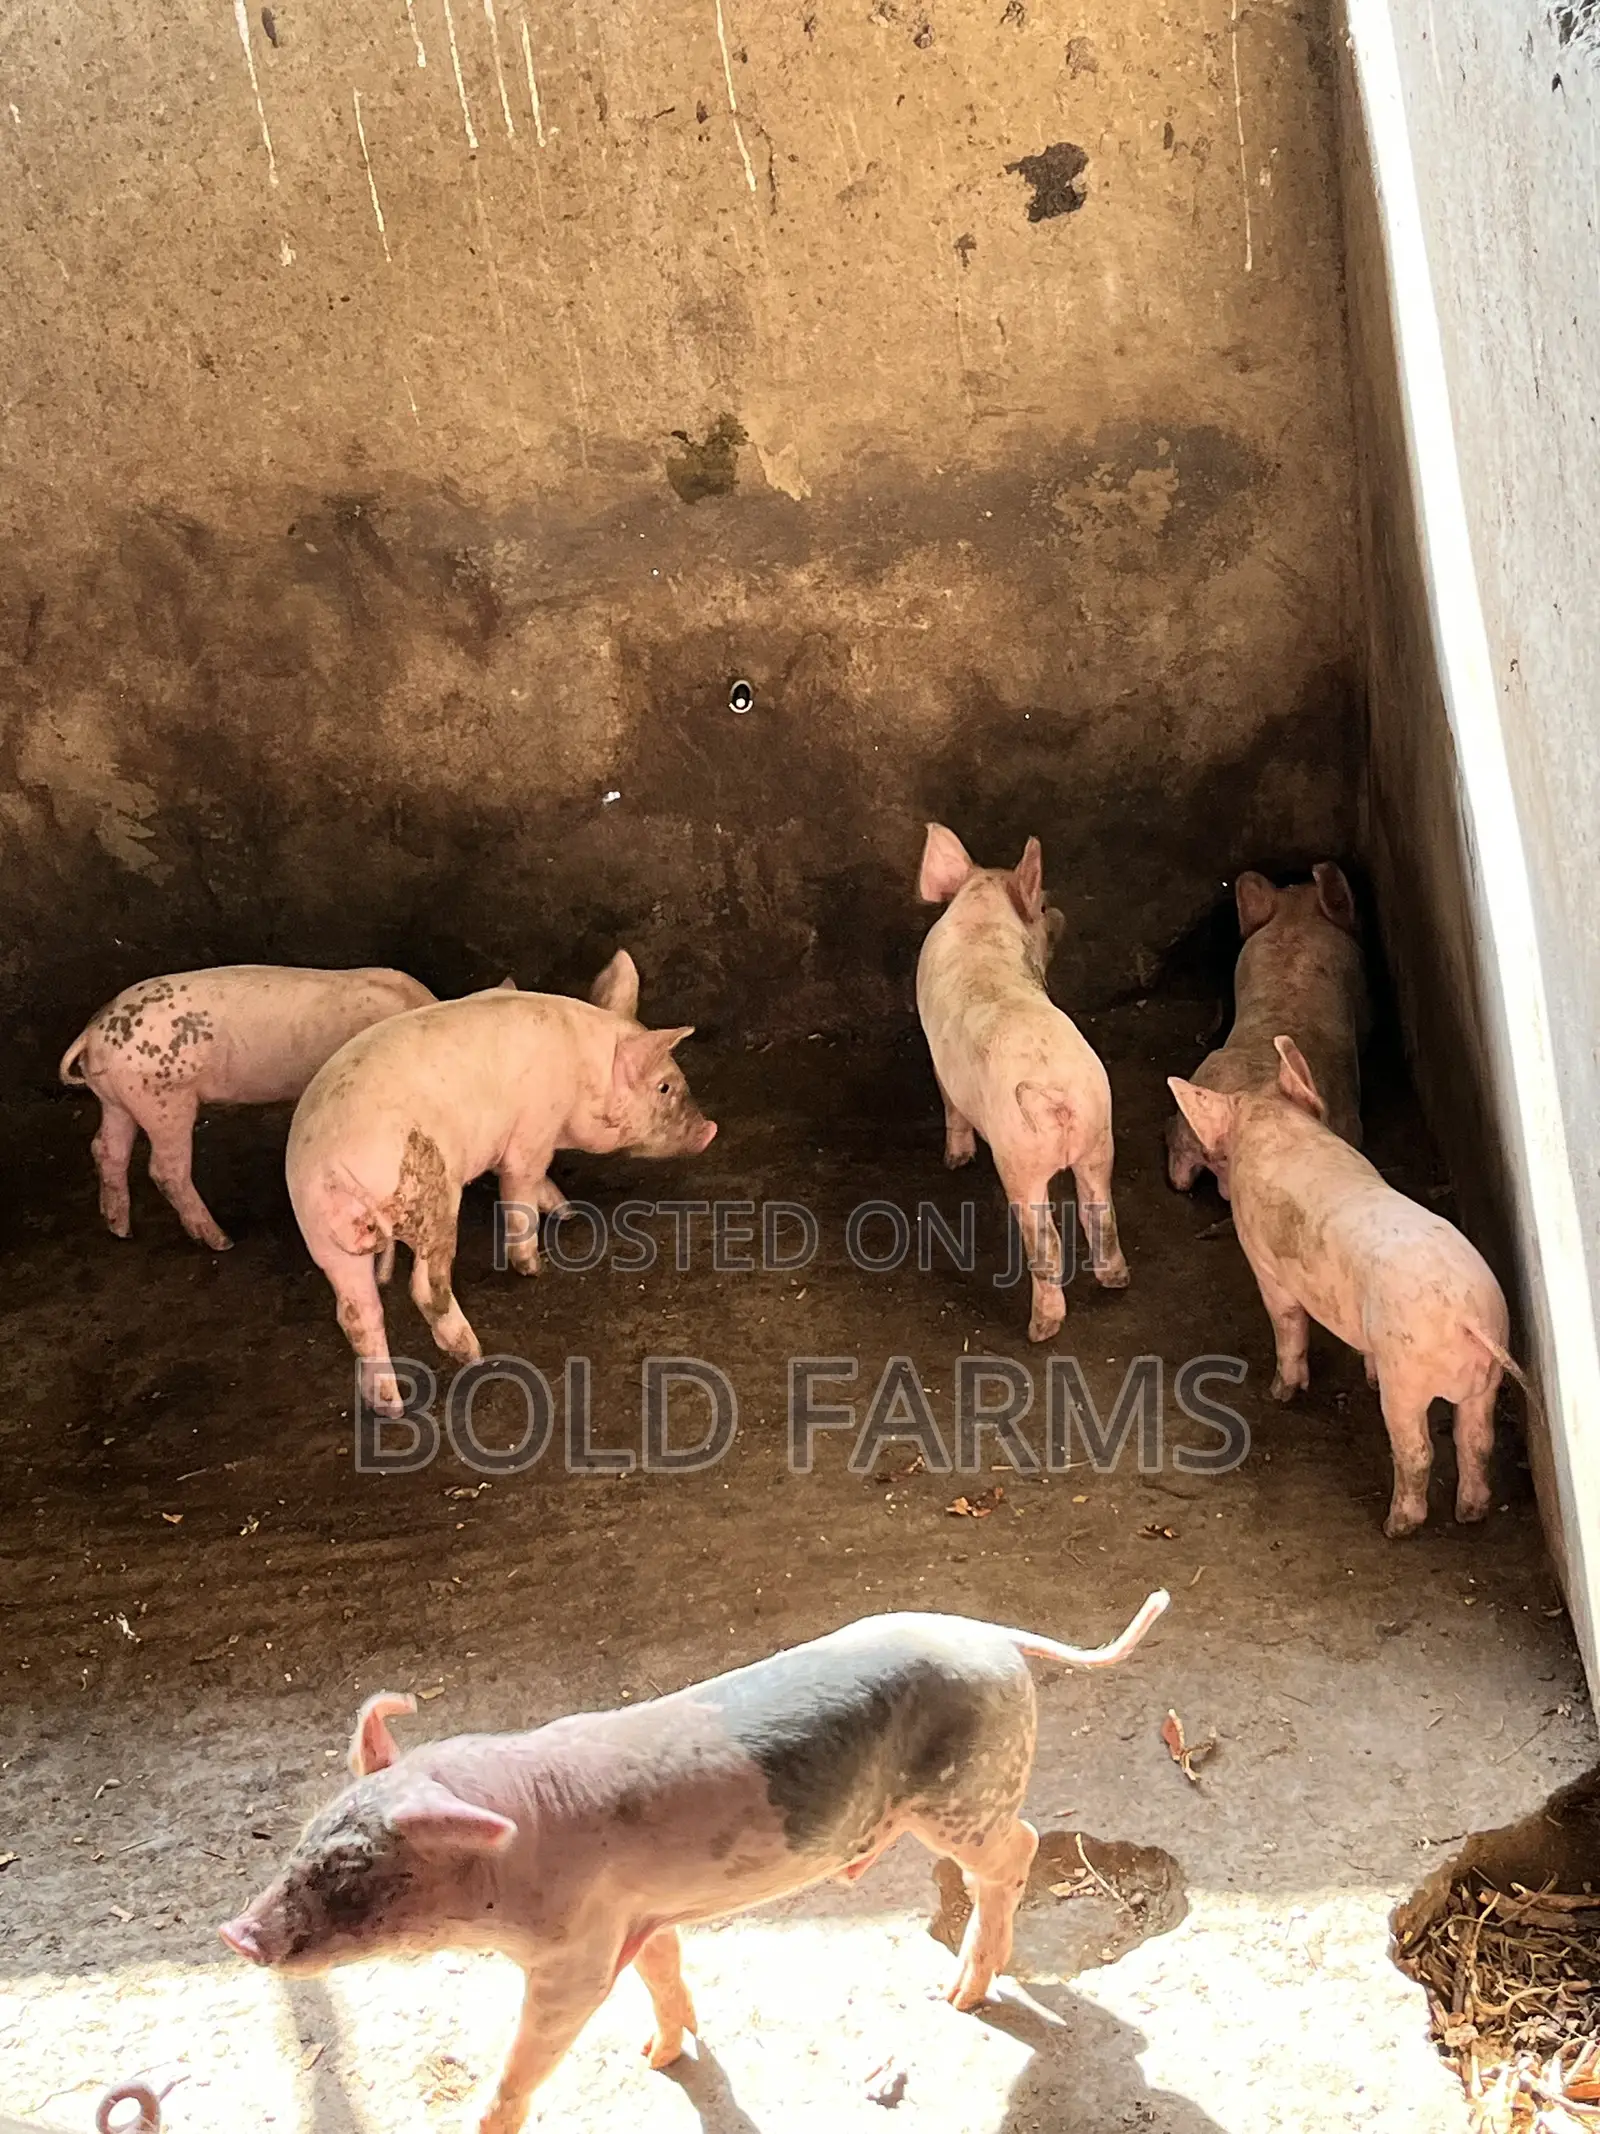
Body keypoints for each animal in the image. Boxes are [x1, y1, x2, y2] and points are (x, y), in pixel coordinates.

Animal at [59, 965, 436, 1251]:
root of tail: (93, 1032)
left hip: (116, 1100)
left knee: (106, 1150)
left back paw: (120, 1229)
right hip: (165, 1099)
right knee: (165, 1169)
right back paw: (221, 1241)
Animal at [220, 1592, 1170, 2132]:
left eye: (352, 1870)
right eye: (303, 1843)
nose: (237, 1934)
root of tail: (998, 1637)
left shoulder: (574, 1958)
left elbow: (532, 2053)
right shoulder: (639, 1916)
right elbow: (666, 1971)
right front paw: (657, 2057)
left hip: (966, 1793)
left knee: (1019, 1850)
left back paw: (961, 1994)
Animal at [286, 949, 714, 1416]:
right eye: (665, 1087)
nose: (710, 1130)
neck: (585, 1069)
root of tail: (330, 1164)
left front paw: (566, 1211)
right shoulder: (533, 1131)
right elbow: (521, 1188)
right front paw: (535, 1264)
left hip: (323, 1236)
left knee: (357, 1312)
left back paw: (390, 1405)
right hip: (432, 1199)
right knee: (426, 1287)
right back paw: (474, 1354)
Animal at [917, 824, 1128, 1342]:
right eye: (1045, 905)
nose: (1062, 912)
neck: (981, 915)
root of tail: (1055, 1094)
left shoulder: (938, 1060)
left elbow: (950, 1104)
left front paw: (955, 1160)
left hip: (1018, 1158)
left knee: (1046, 1241)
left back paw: (1040, 1329)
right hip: (1100, 1133)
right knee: (1100, 1211)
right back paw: (1115, 1279)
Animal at [1169, 1035, 1534, 1537]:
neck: (1276, 1124)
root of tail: (1466, 1317)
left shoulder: (1264, 1262)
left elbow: (1287, 1324)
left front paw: (1279, 1393)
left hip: (1407, 1376)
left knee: (1417, 1450)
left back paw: (1396, 1527)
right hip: (1490, 1370)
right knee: (1477, 1440)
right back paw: (1470, 1514)